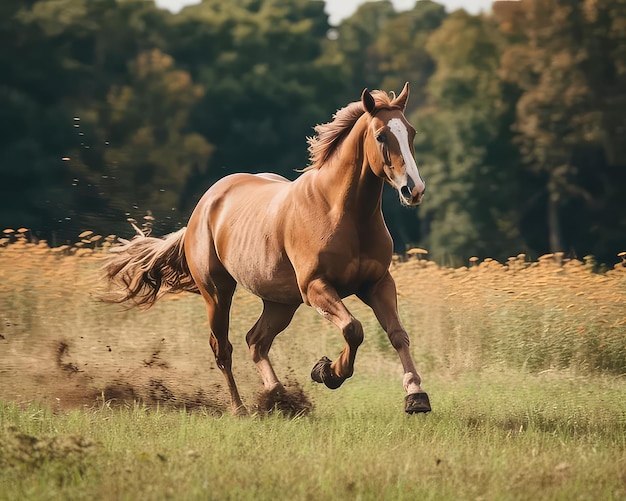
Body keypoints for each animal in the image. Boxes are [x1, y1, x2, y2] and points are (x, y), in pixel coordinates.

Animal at [105, 83, 432, 414]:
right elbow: (353, 329)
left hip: (280, 302)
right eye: (380, 135)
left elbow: (397, 334)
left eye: (411, 132)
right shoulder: (315, 287)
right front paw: (328, 372)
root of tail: (202, 209)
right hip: (218, 293)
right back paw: (240, 409)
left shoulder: (377, 283)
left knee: (256, 341)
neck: (341, 212)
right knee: (223, 348)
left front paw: (415, 394)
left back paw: (279, 396)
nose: (413, 189)